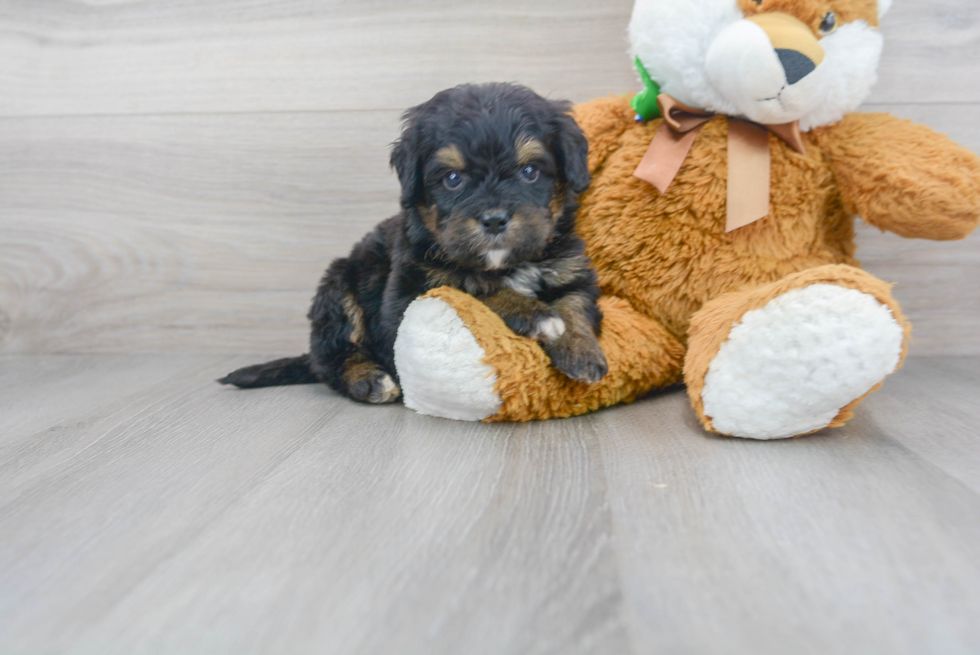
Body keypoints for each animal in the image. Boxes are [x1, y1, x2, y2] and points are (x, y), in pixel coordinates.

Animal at [221, 83, 604, 404]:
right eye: (452, 179)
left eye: (530, 172)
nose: (494, 219)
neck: (503, 264)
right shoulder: (408, 296)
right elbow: (473, 288)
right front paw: (534, 313)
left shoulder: (569, 268)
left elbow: (573, 304)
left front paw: (582, 351)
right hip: (338, 287)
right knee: (332, 357)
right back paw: (369, 379)